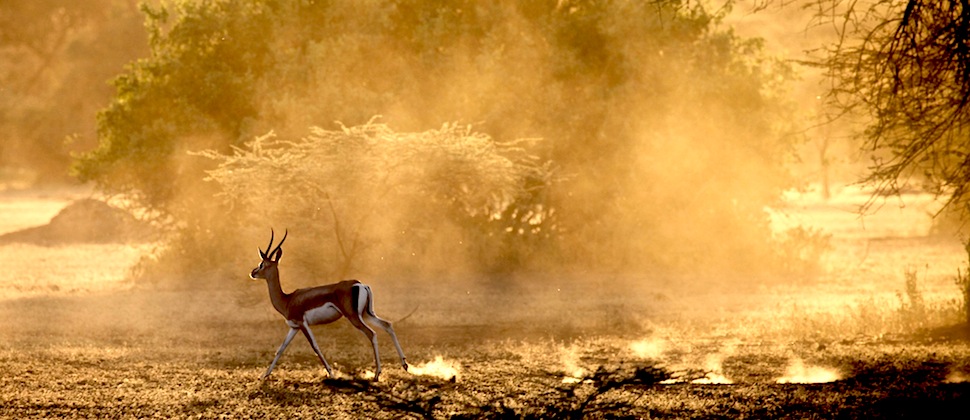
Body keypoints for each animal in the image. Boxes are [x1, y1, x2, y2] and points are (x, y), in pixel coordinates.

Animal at [249, 229, 408, 381]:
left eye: (262, 264)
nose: (252, 272)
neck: (287, 300)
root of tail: (360, 284)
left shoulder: (302, 323)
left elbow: (315, 346)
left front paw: (331, 374)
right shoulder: (294, 327)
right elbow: (281, 348)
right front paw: (264, 375)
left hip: (353, 316)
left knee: (372, 333)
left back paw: (377, 374)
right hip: (366, 314)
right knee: (387, 325)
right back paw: (404, 365)